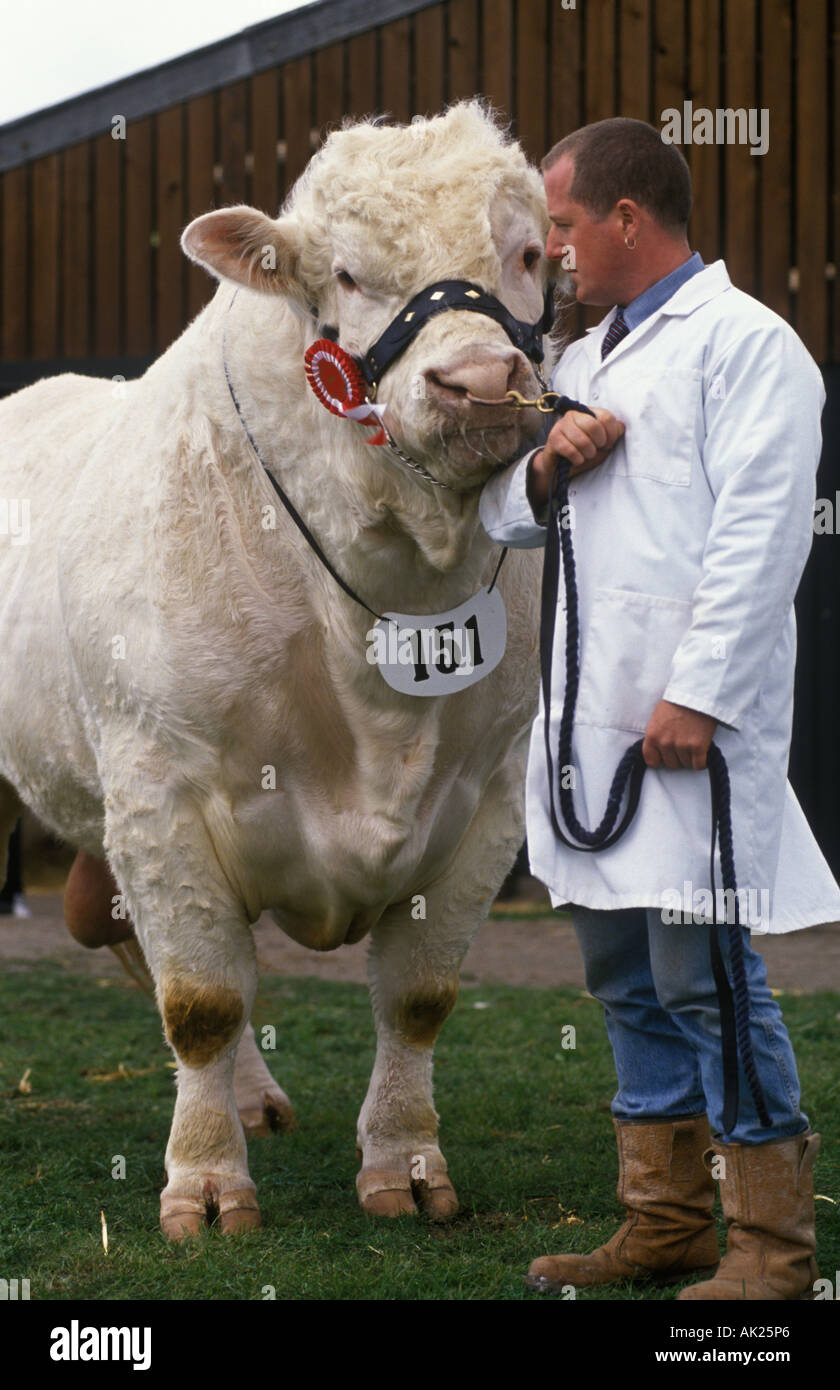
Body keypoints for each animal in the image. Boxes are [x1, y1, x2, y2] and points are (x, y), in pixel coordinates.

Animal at [0, 101, 550, 1238]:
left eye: (526, 253)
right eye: (343, 273)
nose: (480, 384)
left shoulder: (492, 790)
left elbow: (417, 997)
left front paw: (405, 1164)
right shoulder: (158, 782)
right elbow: (202, 998)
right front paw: (207, 1183)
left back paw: (254, 1097)